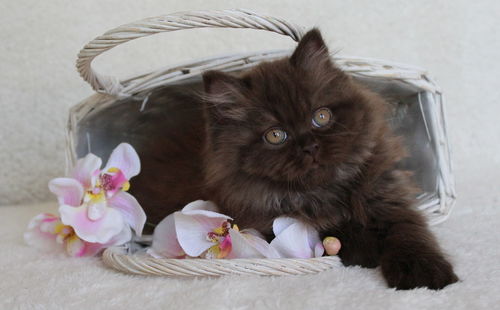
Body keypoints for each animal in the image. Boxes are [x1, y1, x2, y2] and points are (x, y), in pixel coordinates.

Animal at [128, 28, 458, 288]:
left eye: (321, 117)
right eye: (276, 135)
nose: (309, 146)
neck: (327, 190)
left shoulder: (387, 196)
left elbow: (408, 231)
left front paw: (423, 272)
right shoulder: (263, 222)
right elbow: (329, 229)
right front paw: (366, 247)